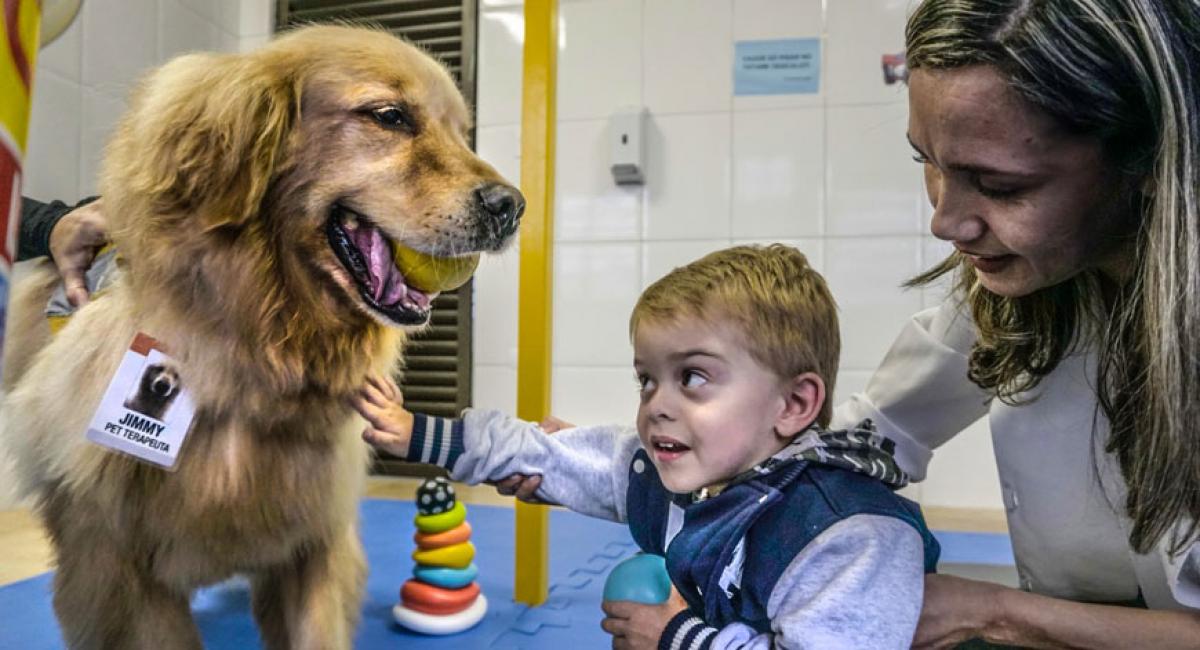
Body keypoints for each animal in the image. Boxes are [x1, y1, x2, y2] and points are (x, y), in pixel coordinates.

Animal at [2, 22, 523, 647]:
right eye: (390, 116)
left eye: (461, 134)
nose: (513, 207)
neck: (261, 353)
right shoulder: (118, 575)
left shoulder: (312, 543)